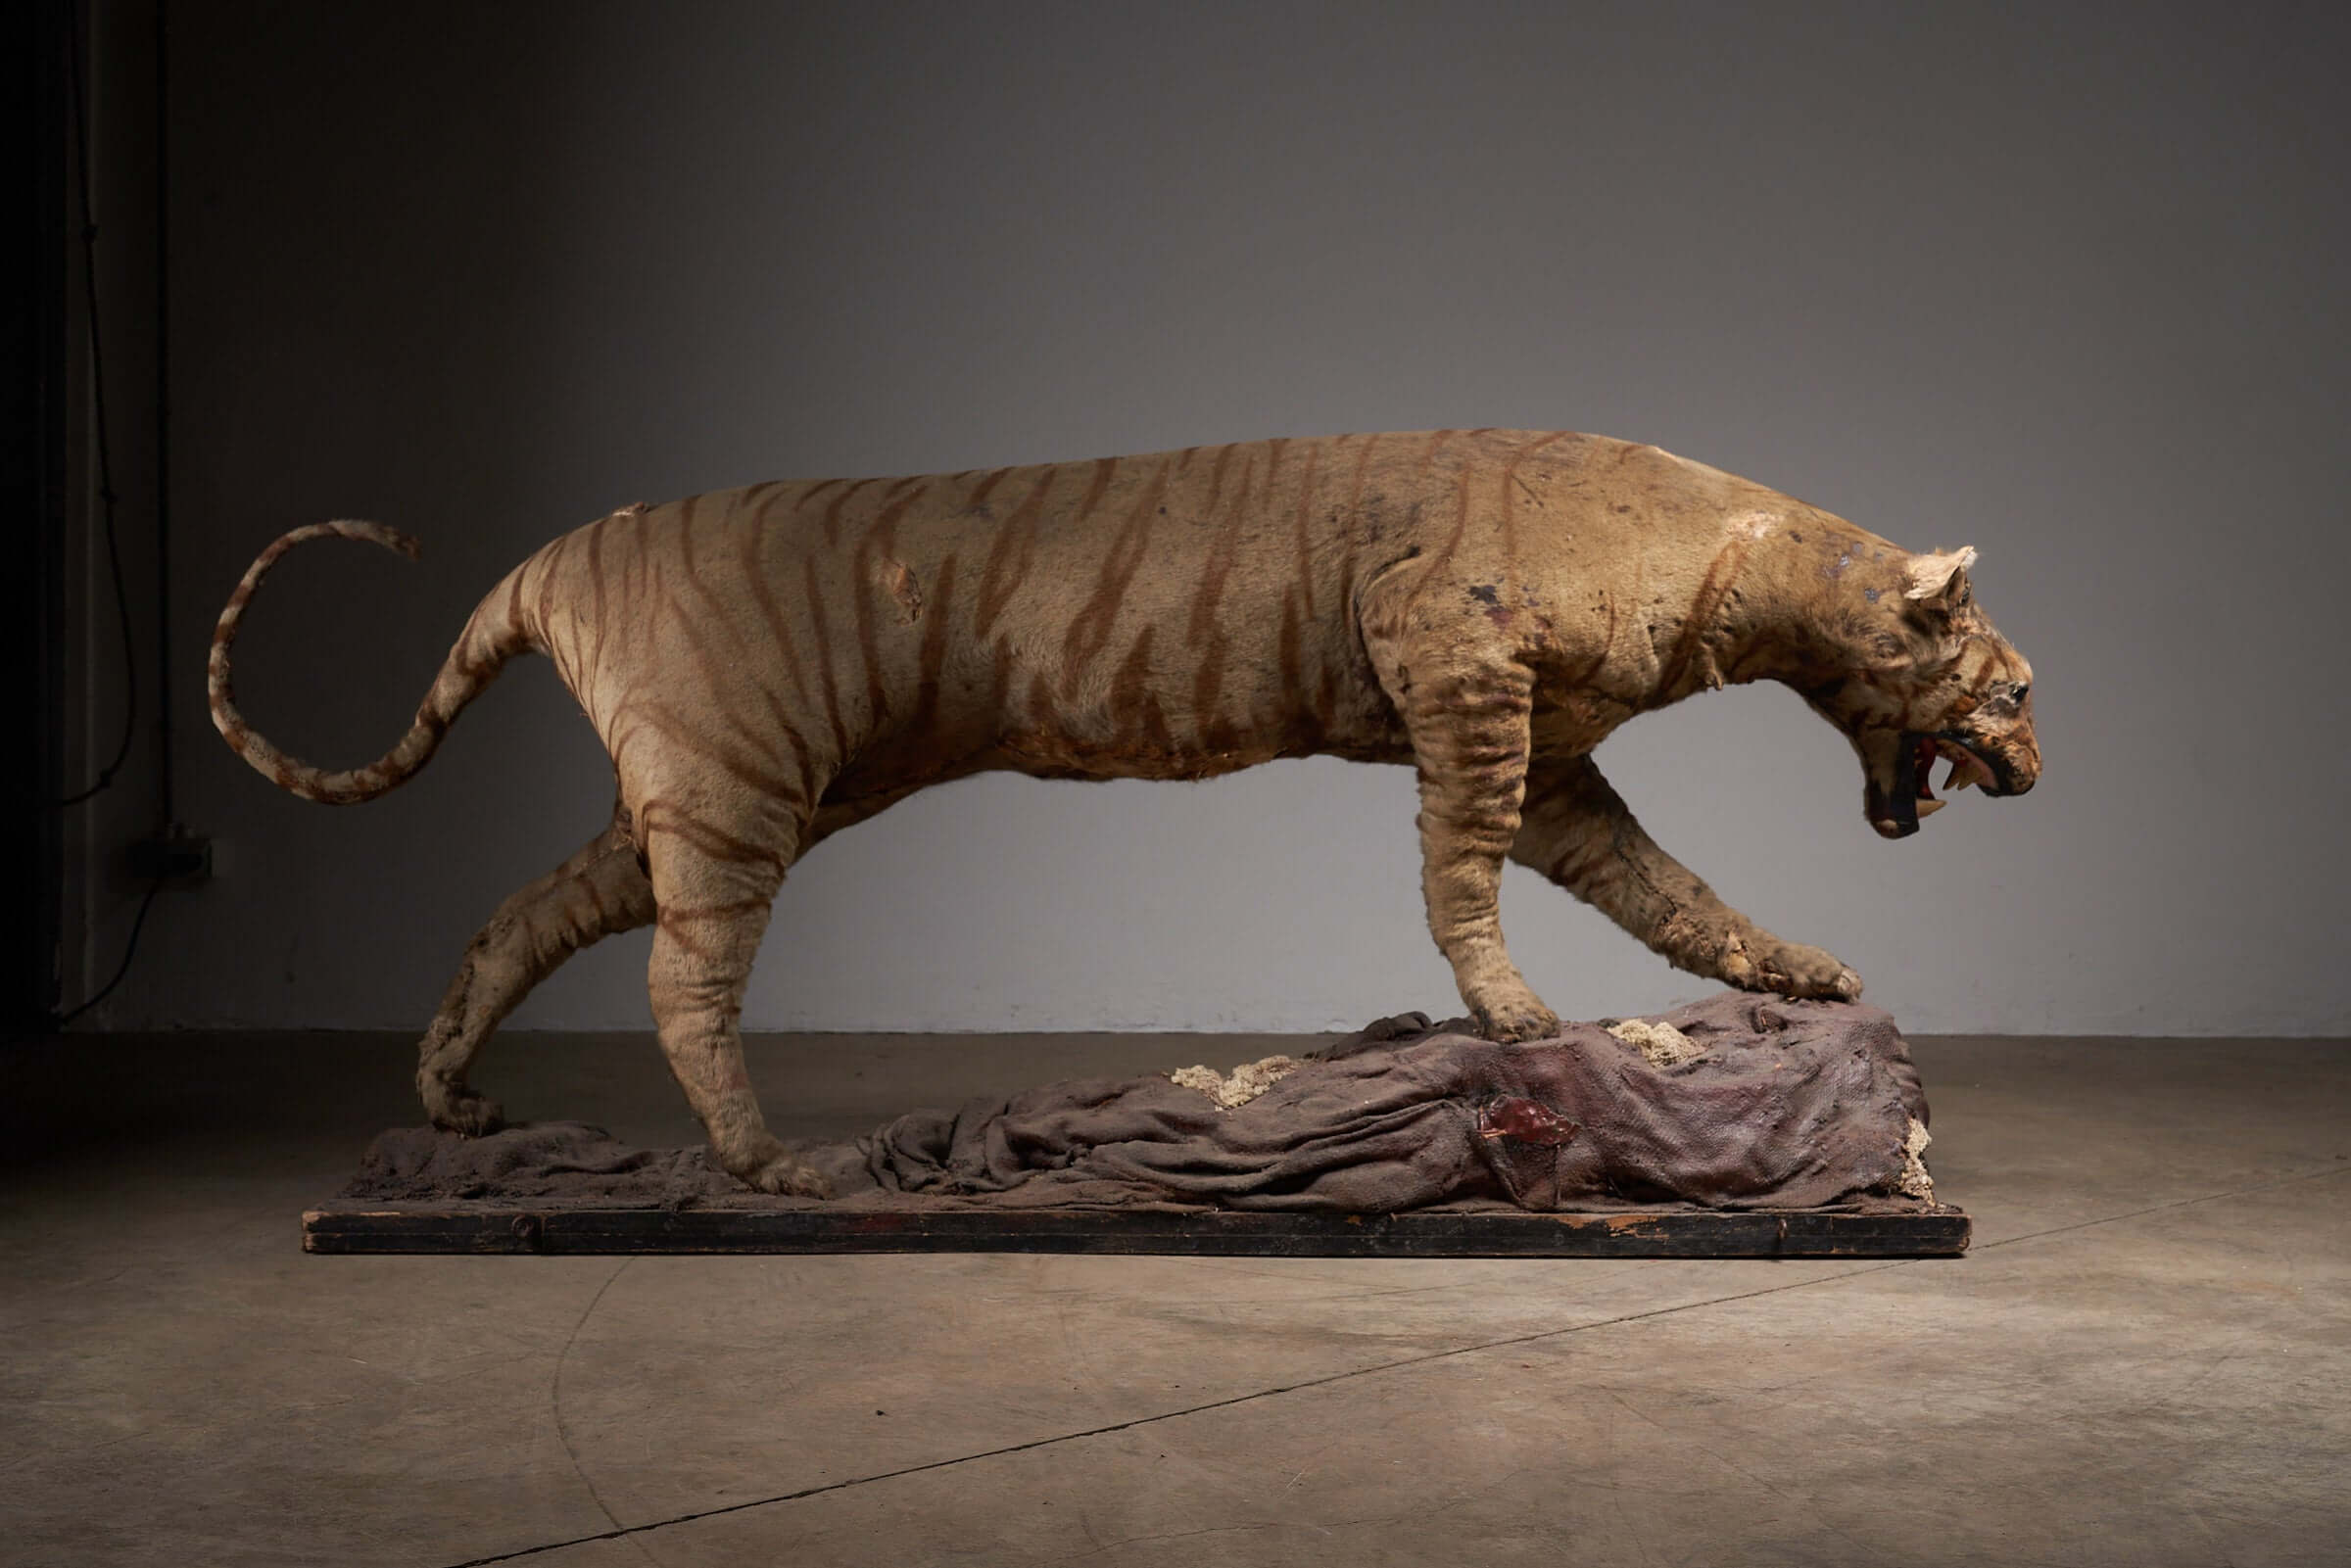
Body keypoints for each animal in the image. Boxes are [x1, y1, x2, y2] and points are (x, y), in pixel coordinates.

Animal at [207, 425, 2040, 1189]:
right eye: (2015, 690)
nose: (2039, 765)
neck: (1738, 564)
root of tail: (547, 560)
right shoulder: (1460, 682)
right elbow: (1462, 885)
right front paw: (1518, 1023)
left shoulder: (1555, 762)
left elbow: (1673, 892)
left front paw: (1804, 978)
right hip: (731, 798)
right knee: (680, 981)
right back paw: (764, 1164)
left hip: (687, 799)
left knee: (519, 916)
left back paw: (454, 1109)